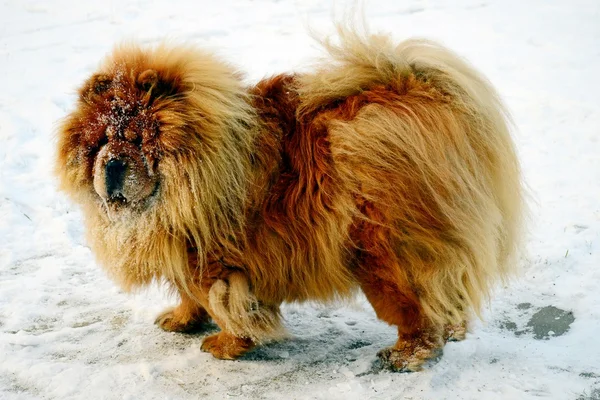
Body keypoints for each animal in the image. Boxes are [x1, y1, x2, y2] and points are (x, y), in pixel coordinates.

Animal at [57, 28, 524, 372]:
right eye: (100, 141)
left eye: (139, 140)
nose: (113, 165)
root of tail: (412, 92)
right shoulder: (184, 249)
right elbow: (191, 293)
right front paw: (182, 320)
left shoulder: (215, 261)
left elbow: (225, 302)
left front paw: (226, 344)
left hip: (382, 254)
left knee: (419, 309)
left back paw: (408, 354)